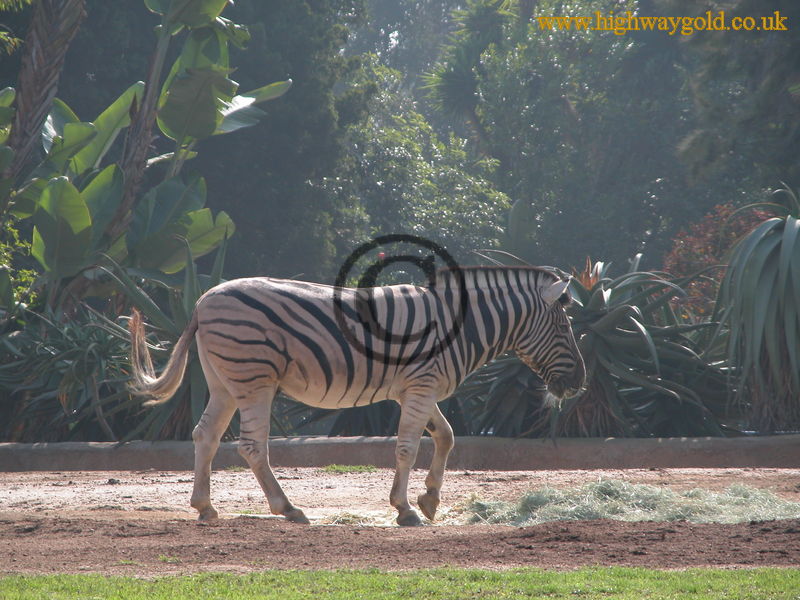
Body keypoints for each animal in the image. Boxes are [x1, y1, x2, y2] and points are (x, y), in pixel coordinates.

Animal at [129, 266, 586, 526]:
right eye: (565, 328)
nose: (579, 383)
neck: (460, 326)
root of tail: (202, 301)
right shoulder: (421, 386)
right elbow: (407, 448)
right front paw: (405, 509)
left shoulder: (417, 387)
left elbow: (446, 436)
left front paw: (430, 499)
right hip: (254, 379)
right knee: (252, 446)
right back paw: (288, 509)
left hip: (224, 382)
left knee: (205, 435)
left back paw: (205, 507)